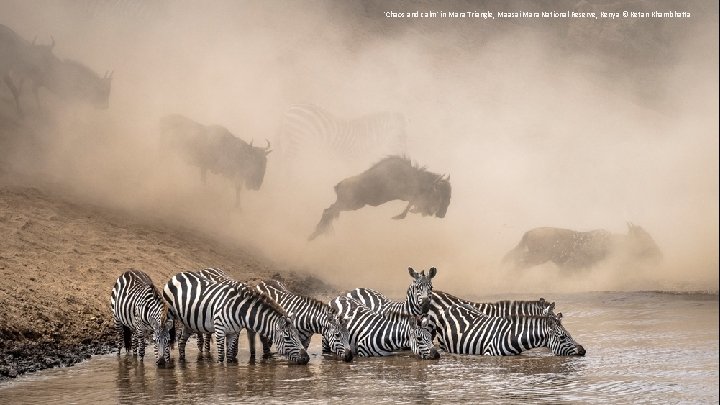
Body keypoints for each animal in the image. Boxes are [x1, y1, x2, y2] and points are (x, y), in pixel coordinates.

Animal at [163, 272, 310, 362]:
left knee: (181, 342)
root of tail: (177, 274)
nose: (306, 358)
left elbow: (229, 357)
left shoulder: (233, 332)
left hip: (189, 322)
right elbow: (221, 357)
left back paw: (182, 362)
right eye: (287, 338)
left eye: (297, 335)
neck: (239, 311)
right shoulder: (220, 330)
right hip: (171, 316)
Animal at [276, 104, 408, 166]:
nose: (403, 155)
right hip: (297, 139)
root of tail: (289, 108)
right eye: (400, 135)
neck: (366, 136)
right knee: (288, 161)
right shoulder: (352, 157)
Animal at [430, 300, 584, 354]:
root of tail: (453, 306)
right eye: (563, 337)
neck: (512, 336)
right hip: (443, 344)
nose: (583, 351)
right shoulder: (489, 354)